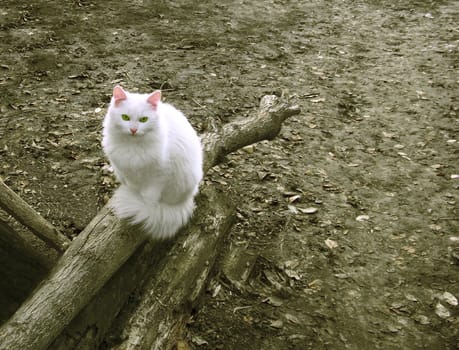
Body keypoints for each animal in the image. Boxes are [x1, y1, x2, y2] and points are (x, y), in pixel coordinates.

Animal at [102, 85, 203, 238]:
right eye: (125, 117)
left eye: (144, 119)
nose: (133, 130)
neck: (133, 147)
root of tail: (187, 201)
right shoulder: (126, 172)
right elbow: (133, 187)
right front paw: (135, 196)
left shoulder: (158, 177)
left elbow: (149, 198)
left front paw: (146, 206)